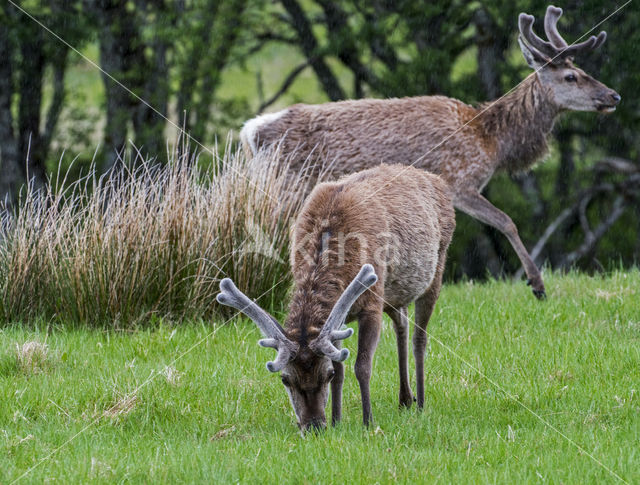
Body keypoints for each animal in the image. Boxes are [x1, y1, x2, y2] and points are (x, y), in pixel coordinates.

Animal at [216, 164, 456, 430]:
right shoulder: (339, 317)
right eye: (285, 379)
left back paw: (421, 402)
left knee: (419, 338)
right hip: (394, 293)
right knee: (401, 323)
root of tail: (436, 180)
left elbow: (362, 366)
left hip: (436, 267)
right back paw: (405, 399)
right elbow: (342, 367)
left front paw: (367, 421)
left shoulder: (372, 301)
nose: (313, 425)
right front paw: (336, 421)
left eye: (325, 375)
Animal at [240, 4, 620, 298]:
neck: (491, 142)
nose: (613, 95)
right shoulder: (459, 181)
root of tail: (251, 131)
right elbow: (506, 221)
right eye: (571, 77)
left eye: (582, 70)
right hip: (286, 185)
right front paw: (537, 284)